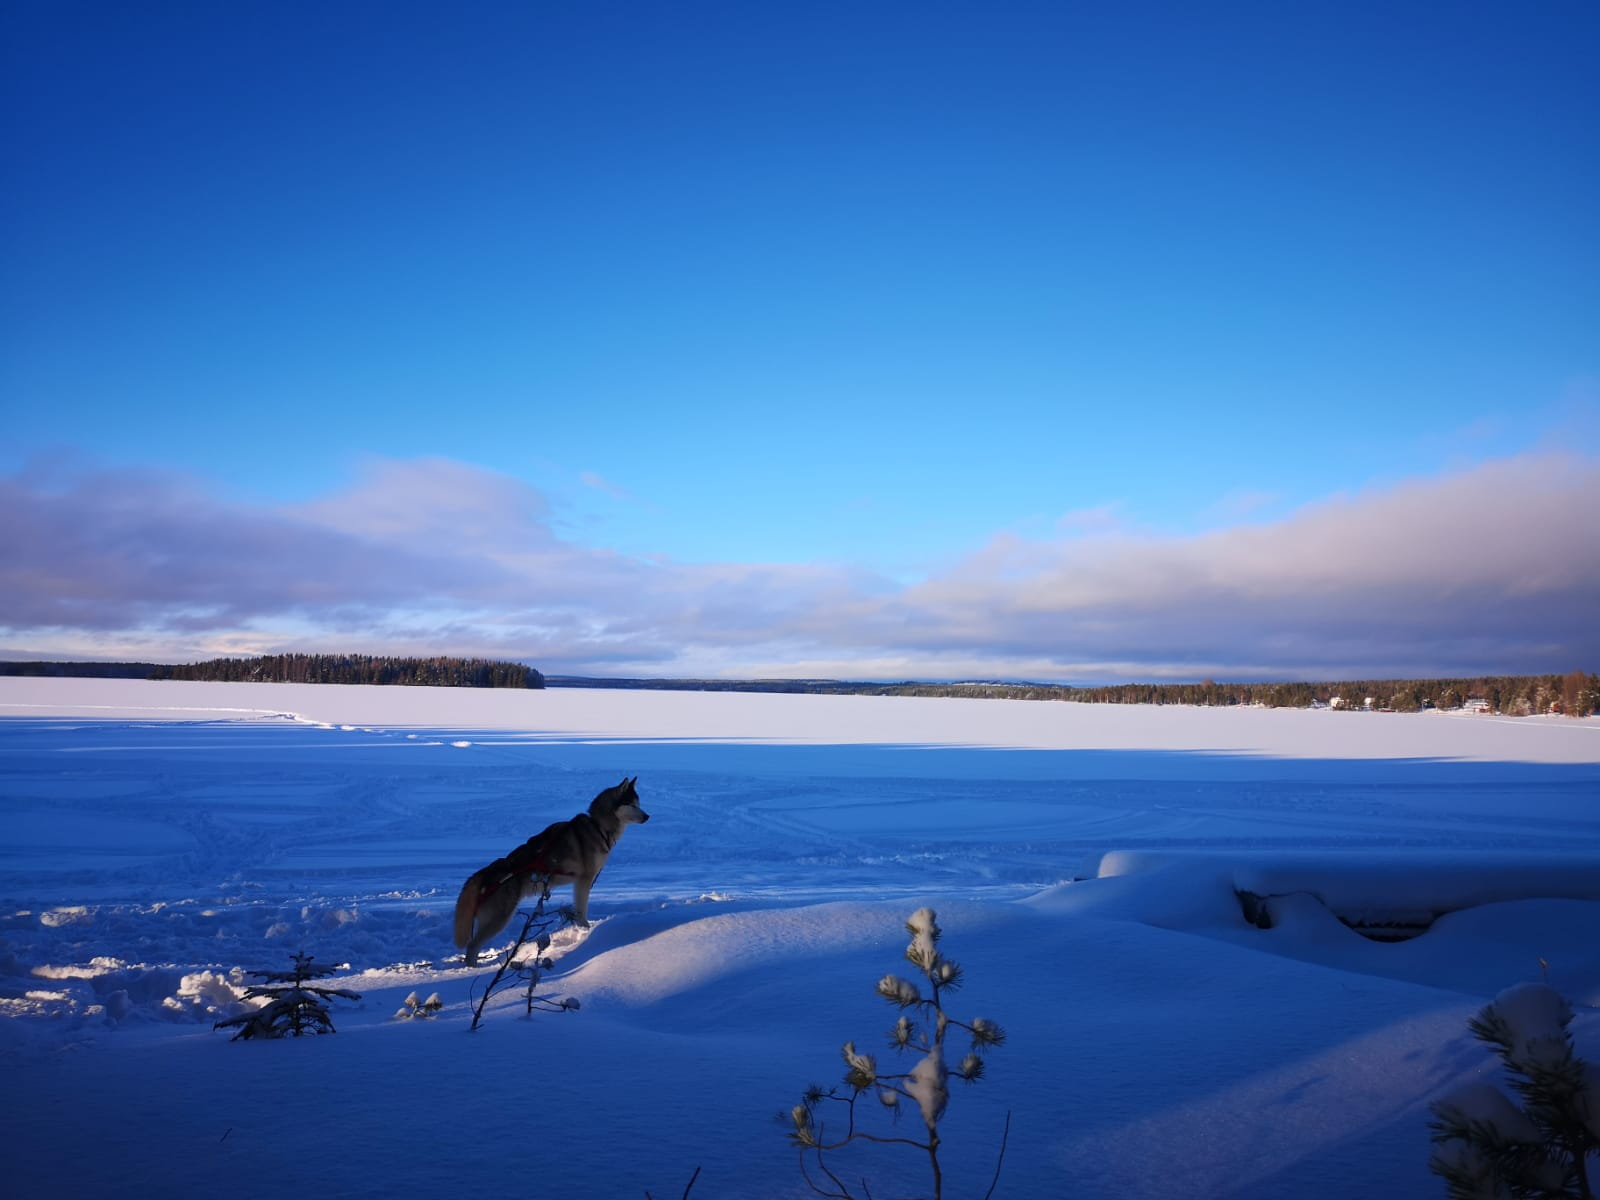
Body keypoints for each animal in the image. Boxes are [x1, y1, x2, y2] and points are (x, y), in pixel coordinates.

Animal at [451, 780, 649, 966]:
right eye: (632, 805)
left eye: (638, 804)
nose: (647, 816)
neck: (598, 826)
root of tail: (484, 873)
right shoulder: (584, 879)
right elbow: (582, 909)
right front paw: (586, 930)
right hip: (500, 918)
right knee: (472, 946)